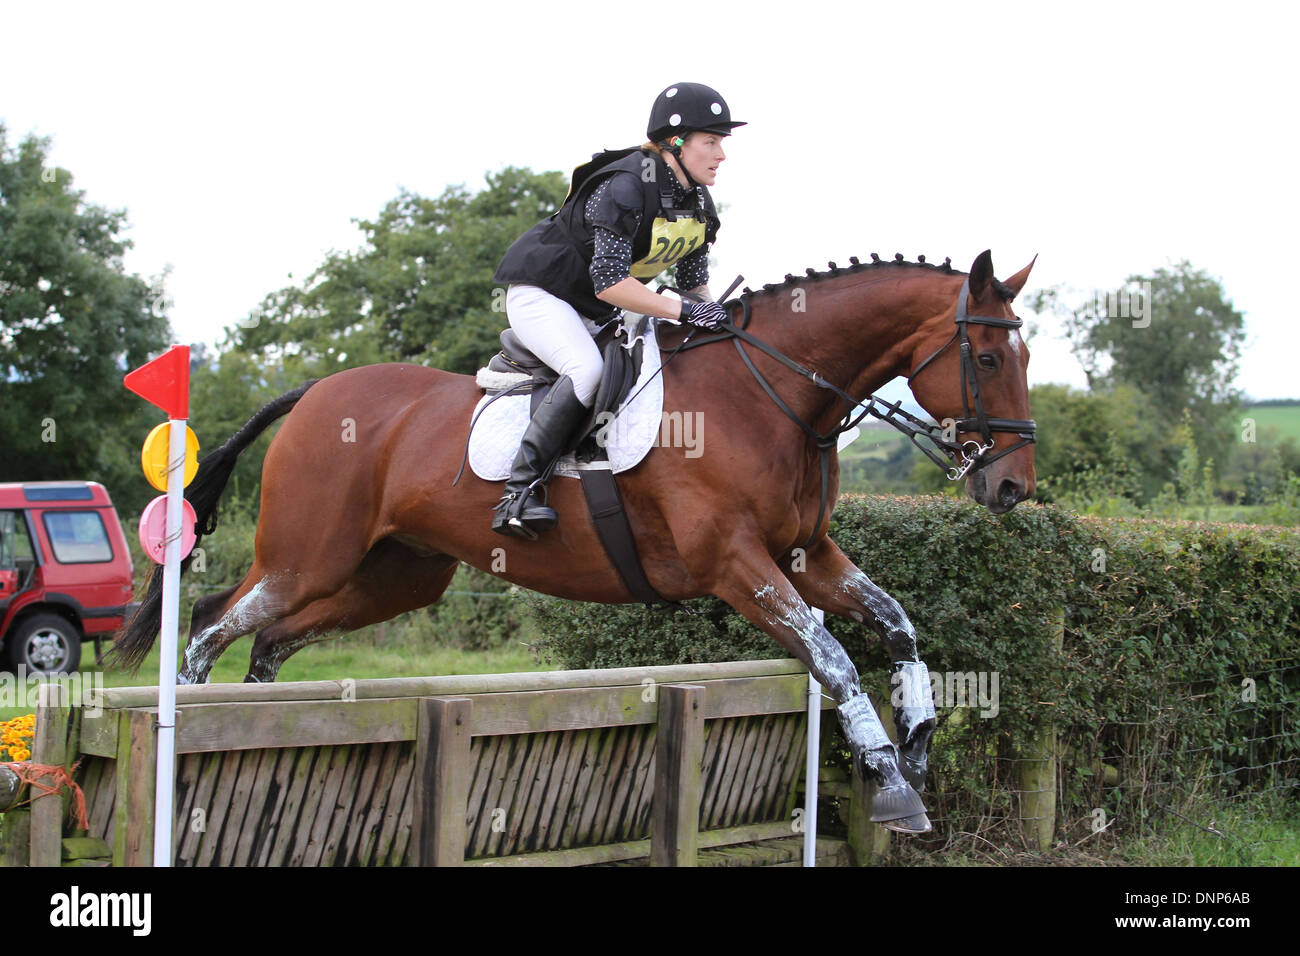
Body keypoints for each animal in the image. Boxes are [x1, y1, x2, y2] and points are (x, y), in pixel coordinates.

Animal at [113, 249, 1038, 834]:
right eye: (990, 359)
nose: (1011, 487)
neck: (774, 392)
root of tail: (310, 393)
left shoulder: (807, 557)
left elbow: (896, 623)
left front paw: (917, 747)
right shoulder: (737, 566)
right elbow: (836, 658)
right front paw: (891, 786)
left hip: (393, 576)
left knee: (269, 638)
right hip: (309, 557)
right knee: (211, 621)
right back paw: (191, 741)